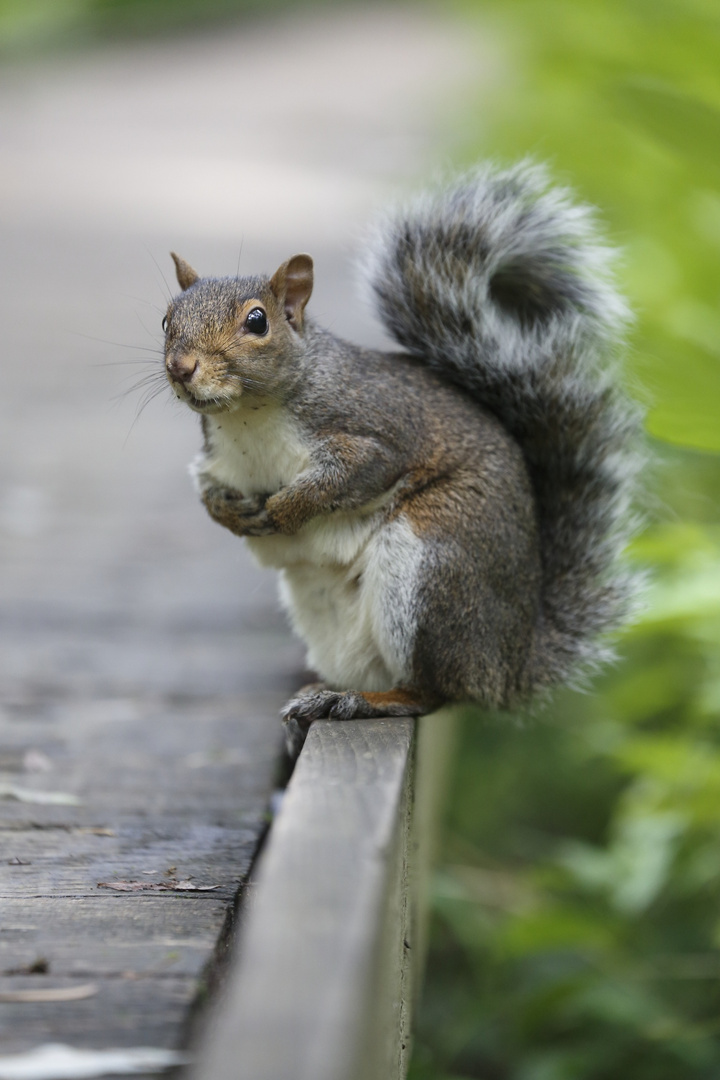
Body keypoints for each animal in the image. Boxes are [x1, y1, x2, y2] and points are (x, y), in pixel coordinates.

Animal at [160, 162, 639, 751]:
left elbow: (349, 475)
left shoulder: (377, 432)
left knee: (432, 692)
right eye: (166, 320)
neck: (247, 417)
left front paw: (287, 509)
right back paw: (326, 694)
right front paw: (231, 514)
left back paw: (361, 701)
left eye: (257, 322)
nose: (181, 367)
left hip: (432, 565)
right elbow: (205, 489)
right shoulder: (216, 458)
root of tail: (509, 665)